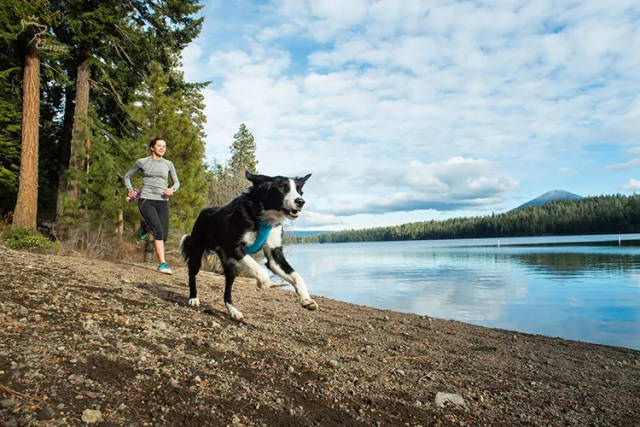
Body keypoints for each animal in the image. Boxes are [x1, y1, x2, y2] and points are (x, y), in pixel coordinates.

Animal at [180, 171, 318, 320]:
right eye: (282, 188)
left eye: (300, 191)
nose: (300, 201)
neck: (263, 216)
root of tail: (203, 211)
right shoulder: (235, 248)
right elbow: (258, 268)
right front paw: (263, 283)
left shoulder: (274, 255)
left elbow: (296, 276)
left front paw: (306, 300)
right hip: (197, 252)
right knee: (192, 274)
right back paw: (193, 298)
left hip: (230, 267)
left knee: (227, 291)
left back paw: (233, 311)